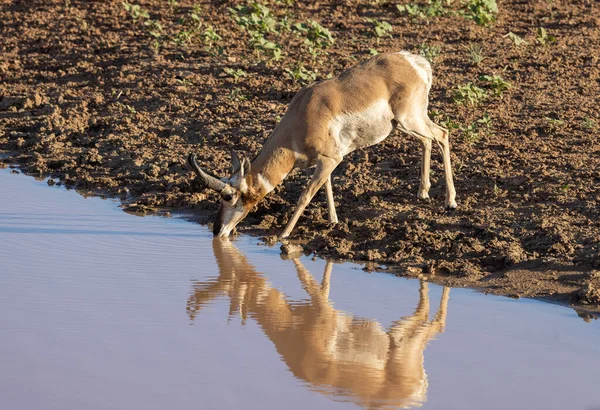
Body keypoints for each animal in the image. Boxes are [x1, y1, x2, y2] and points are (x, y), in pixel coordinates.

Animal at [188, 239, 450, 408]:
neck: (291, 333)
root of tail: (415, 397)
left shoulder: (324, 309)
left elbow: (309, 281)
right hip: (398, 336)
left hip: (403, 343)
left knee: (434, 322)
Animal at [190, 51, 458, 237]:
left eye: (228, 196)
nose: (217, 231)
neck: (302, 113)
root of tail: (415, 62)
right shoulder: (326, 161)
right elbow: (326, 186)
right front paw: (333, 221)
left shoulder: (331, 159)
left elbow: (306, 195)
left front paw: (283, 235)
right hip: (403, 125)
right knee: (428, 140)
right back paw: (423, 192)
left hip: (409, 119)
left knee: (442, 134)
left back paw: (451, 202)